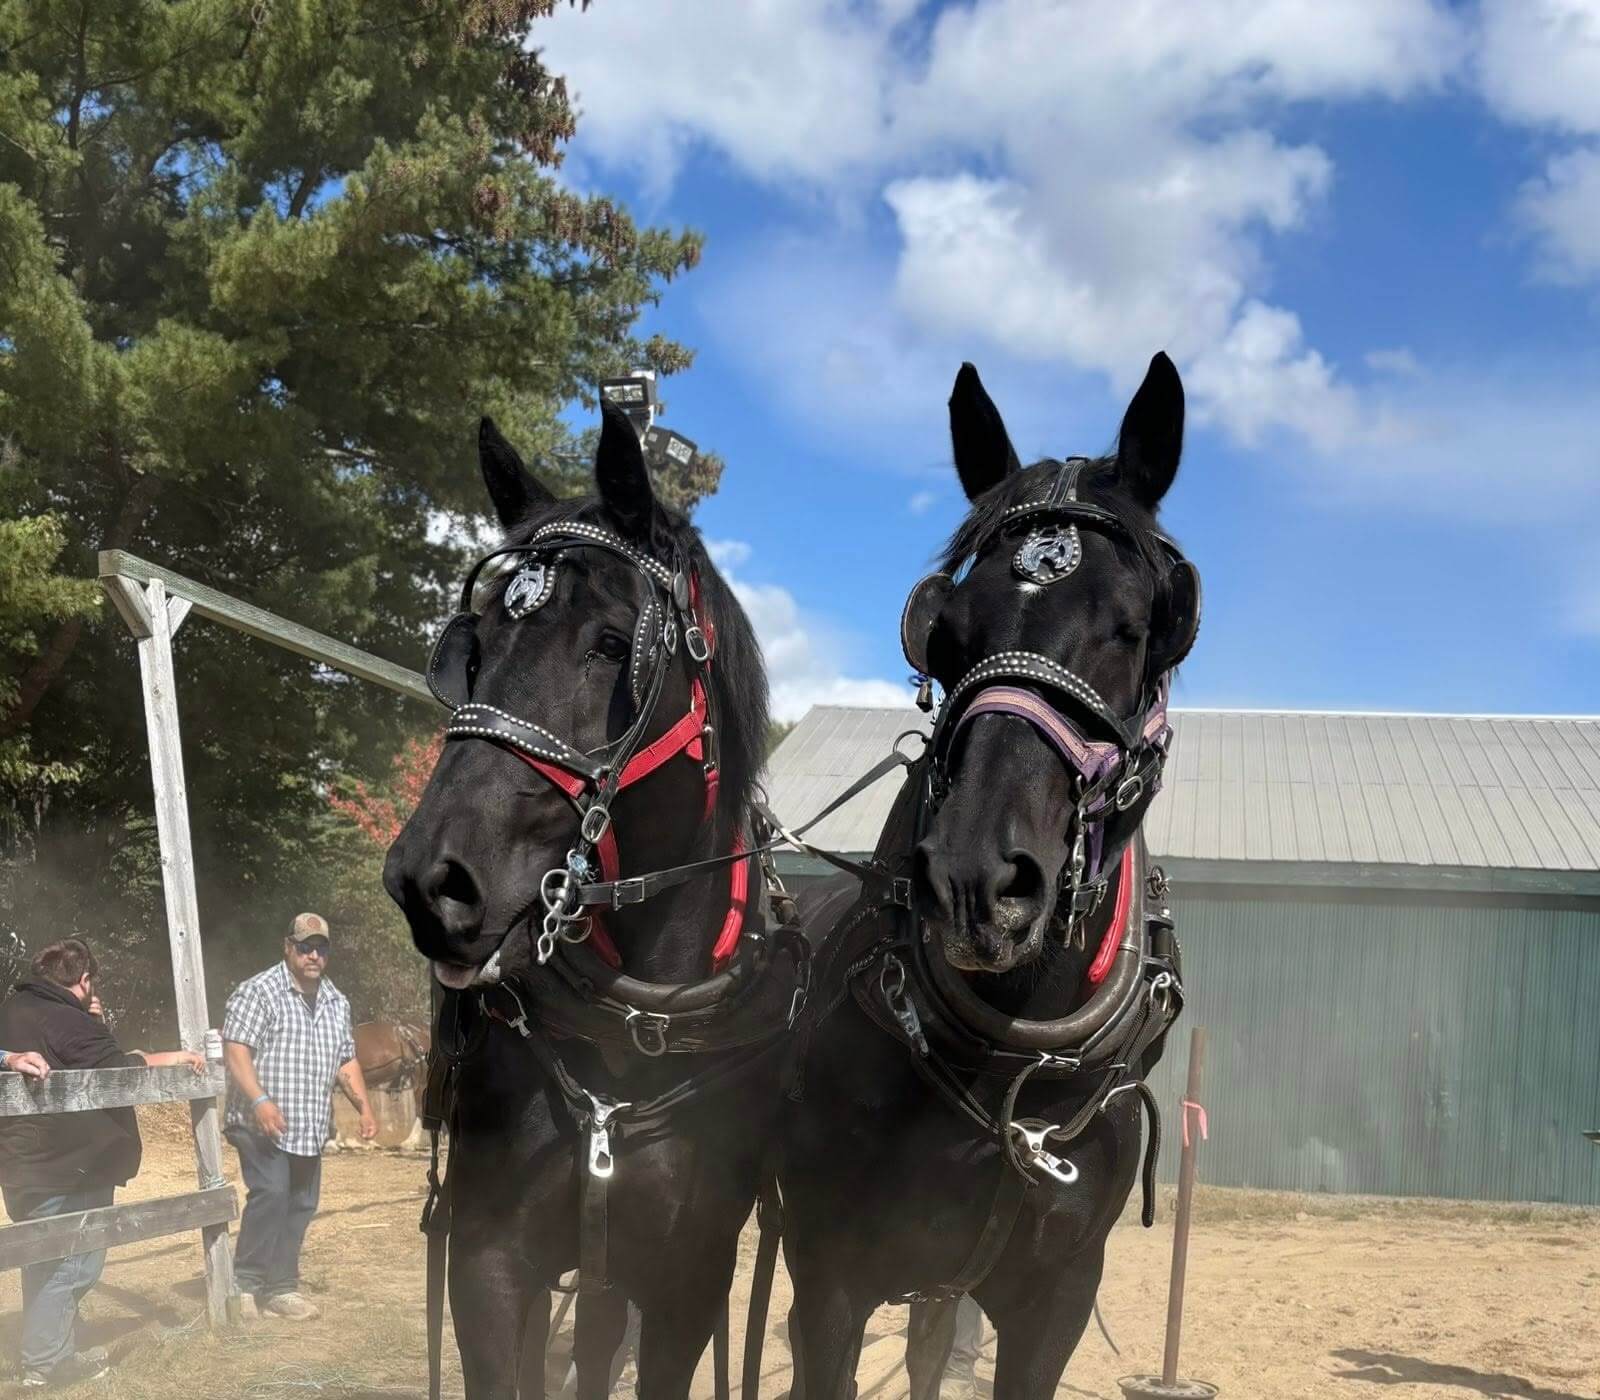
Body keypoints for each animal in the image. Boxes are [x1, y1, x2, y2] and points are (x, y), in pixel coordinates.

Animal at [384, 403, 803, 1400]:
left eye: (614, 646)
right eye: (471, 653)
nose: (428, 881)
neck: (633, 1029)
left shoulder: (687, 1283)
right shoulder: (489, 1265)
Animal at [777, 354, 1201, 1400]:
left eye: (1141, 628)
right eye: (946, 629)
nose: (975, 879)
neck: (1008, 1058)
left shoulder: (1053, 1303)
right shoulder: (829, 1286)